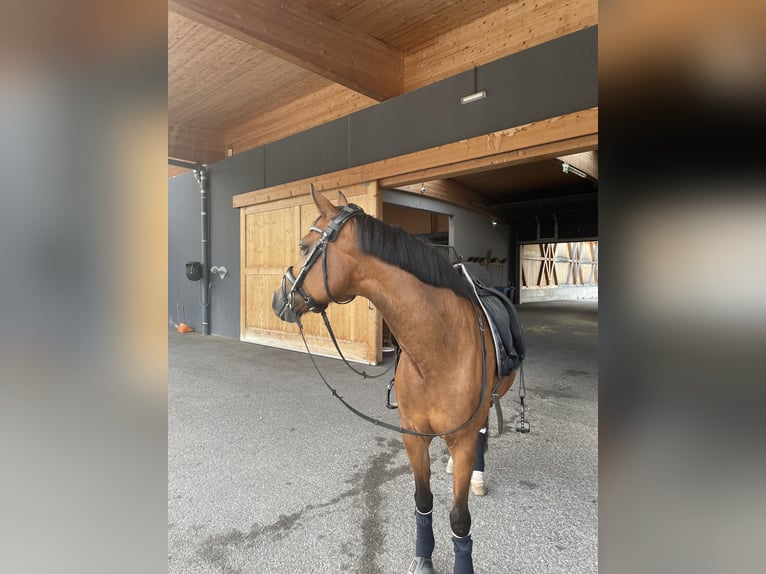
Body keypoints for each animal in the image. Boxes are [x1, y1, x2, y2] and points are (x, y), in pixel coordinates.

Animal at [271, 186, 519, 574]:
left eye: (302, 245)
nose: (277, 298)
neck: (437, 351)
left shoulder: (462, 438)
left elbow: (460, 518)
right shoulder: (413, 437)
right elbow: (423, 500)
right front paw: (423, 558)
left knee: (480, 435)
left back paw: (476, 476)